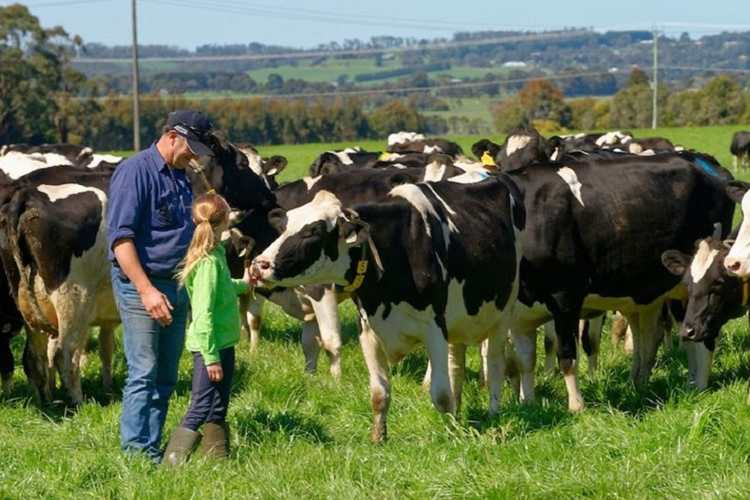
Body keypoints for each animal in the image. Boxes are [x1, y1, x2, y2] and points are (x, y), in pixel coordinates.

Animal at [250, 179, 524, 442]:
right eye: (283, 228)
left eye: (314, 232)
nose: (258, 265)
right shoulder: (368, 330)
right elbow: (379, 392)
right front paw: (378, 437)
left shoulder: (434, 329)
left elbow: (440, 394)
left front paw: (451, 435)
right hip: (458, 323)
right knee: (456, 363)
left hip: (503, 314)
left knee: (495, 363)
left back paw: (493, 413)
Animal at [502, 151, 736, 410]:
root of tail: (700, 158)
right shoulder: (519, 316)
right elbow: (525, 362)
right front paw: (528, 404)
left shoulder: (566, 298)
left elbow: (568, 358)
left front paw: (576, 407)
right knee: (654, 339)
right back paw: (643, 384)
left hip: (701, 284)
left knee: (703, 339)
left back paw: (697, 388)